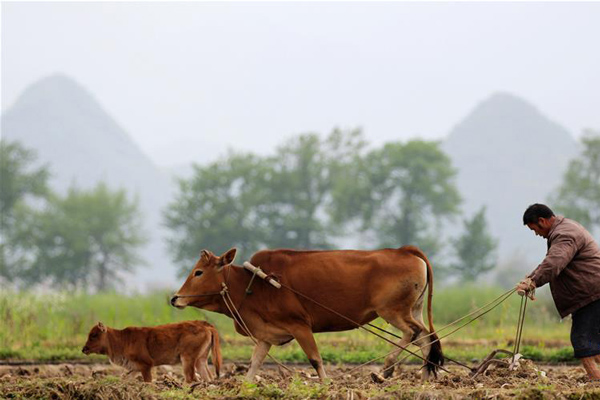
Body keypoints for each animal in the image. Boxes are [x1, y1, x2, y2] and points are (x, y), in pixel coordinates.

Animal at [79, 320, 220, 382]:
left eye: (94, 335)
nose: (84, 349)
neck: (122, 340)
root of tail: (206, 325)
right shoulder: (135, 368)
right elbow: (124, 378)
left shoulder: (146, 366)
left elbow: (148, 382)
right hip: (201, 360)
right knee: (208, 377)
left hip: (187, 359)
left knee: (191, 378)